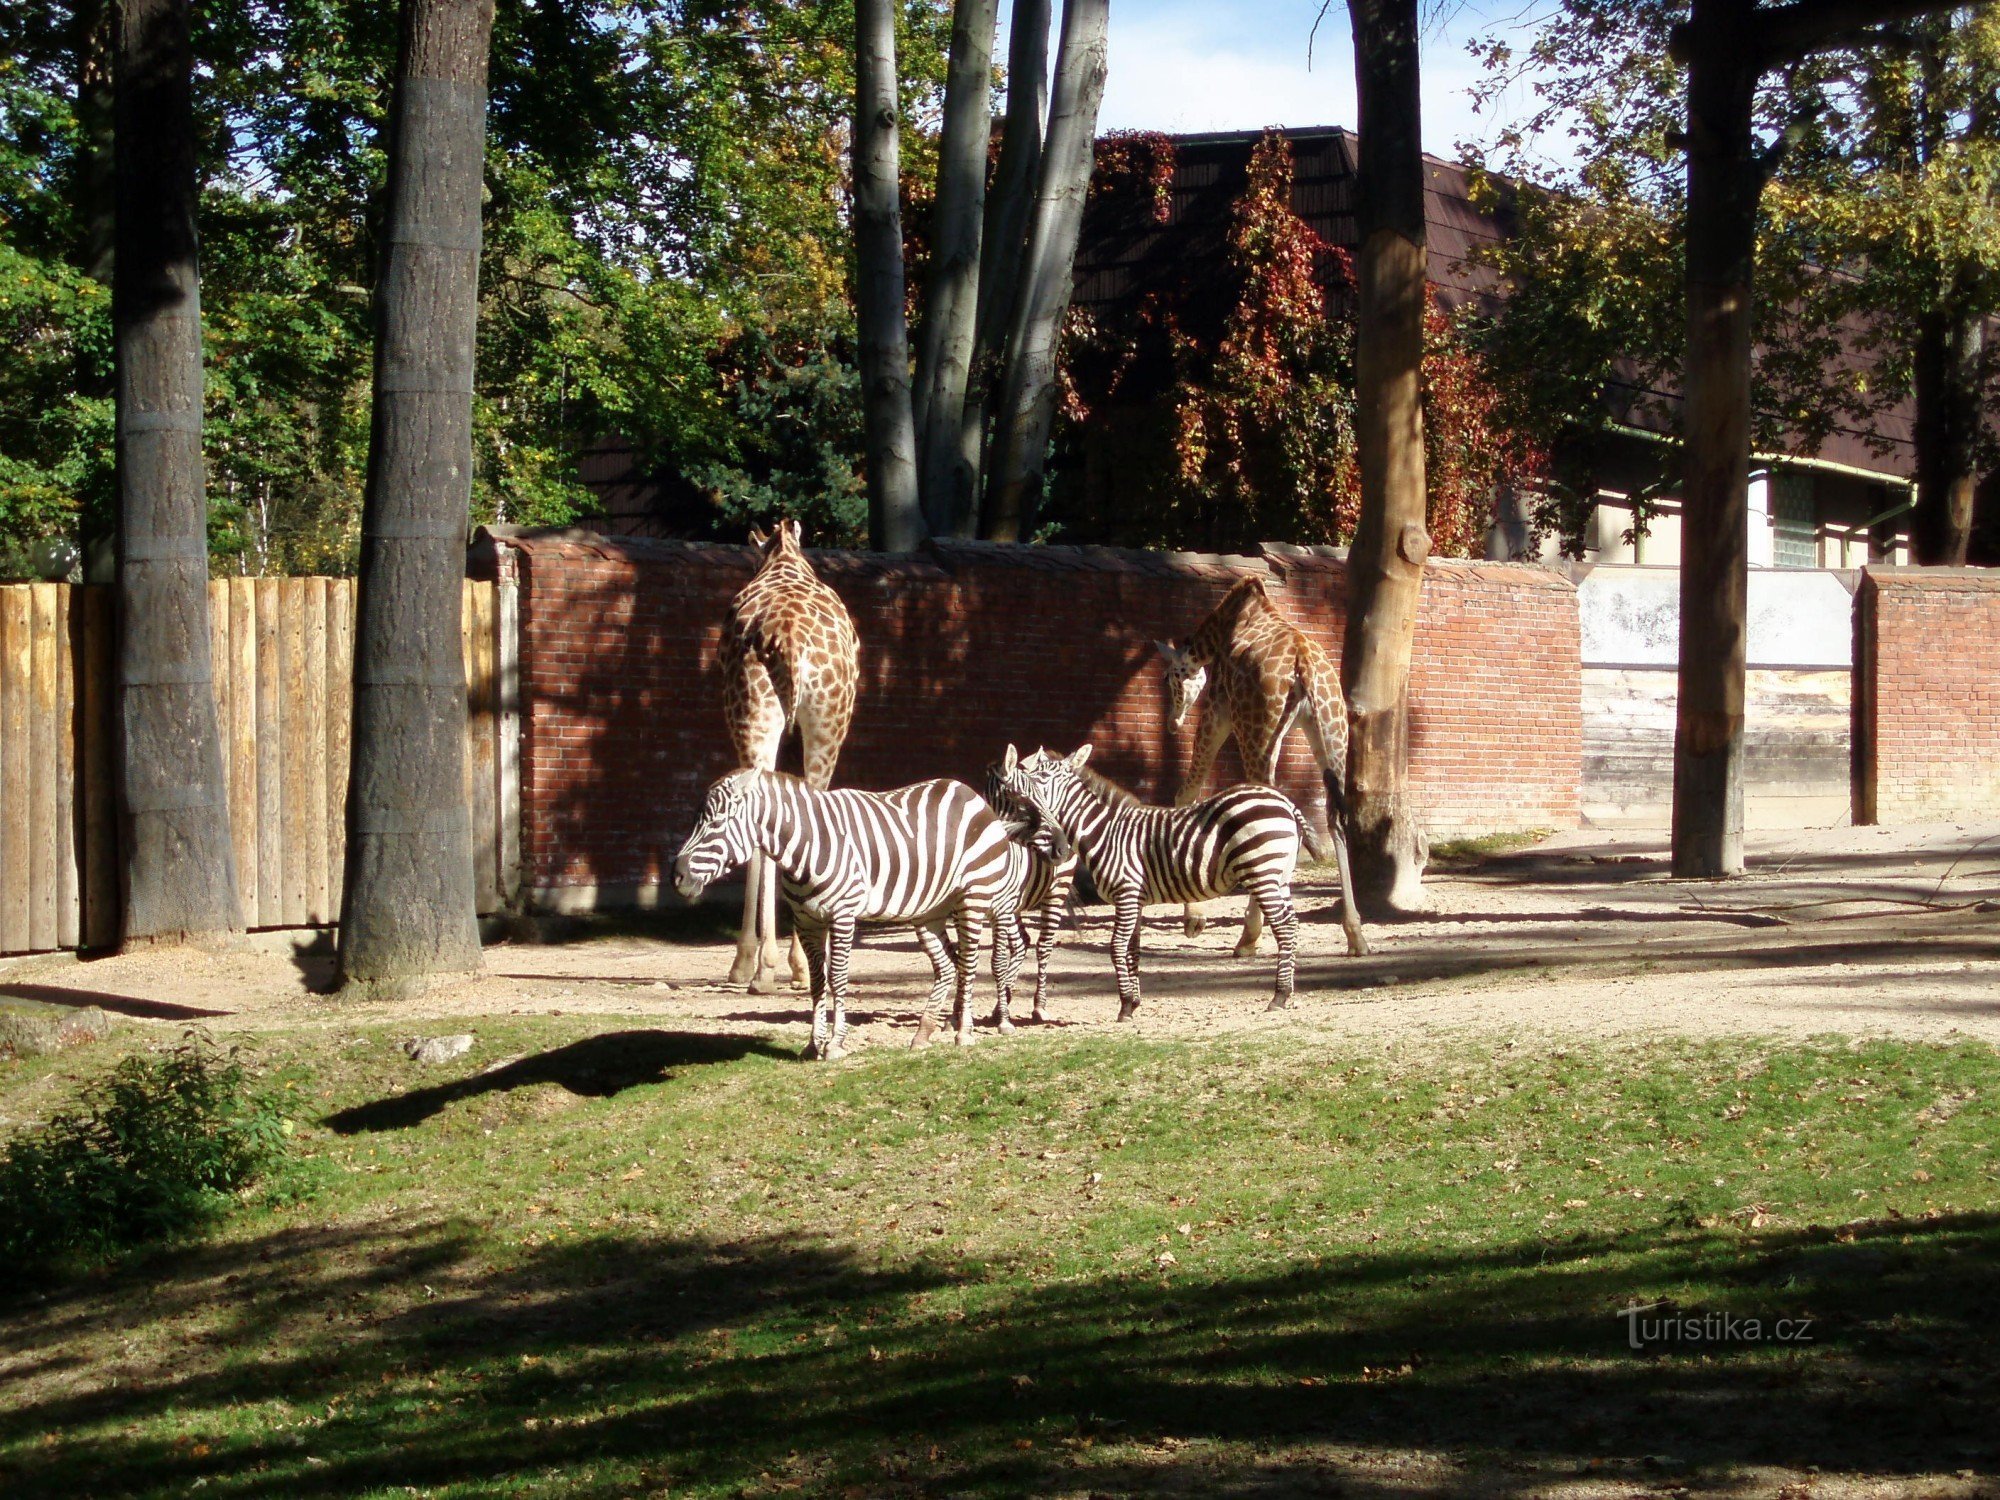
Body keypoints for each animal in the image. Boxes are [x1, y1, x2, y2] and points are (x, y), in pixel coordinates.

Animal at [672, 776, 1016, 1056]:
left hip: (973, 898)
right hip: (929, 912)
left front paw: (835, 1044)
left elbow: (837, 977)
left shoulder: (842, 914)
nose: (677, 875)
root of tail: (969, 792)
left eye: (717, 822)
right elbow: (816, 982)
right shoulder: (806, 922)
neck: (805, 846)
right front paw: (814, 1044)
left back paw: (964, 1033)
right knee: (946, 966)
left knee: (968, 964)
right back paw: (923, 1034)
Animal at [720, 524, 860, 992]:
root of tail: (789, 638)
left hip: (756, 713)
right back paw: (795, 963)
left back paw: (759, 964)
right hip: (825, 722)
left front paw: (751, 961)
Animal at [1008, 748, 1320, 1024]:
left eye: (1042, 777)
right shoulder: (1135, 900)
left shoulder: (1126, 893)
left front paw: (1124, 1006)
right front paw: (1133, 1003)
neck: (1104, 832)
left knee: (1283, 928)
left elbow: (1116, 947)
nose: (1016, 792)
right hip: (1280, 877)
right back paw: (1287, 992)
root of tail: (1285, 802)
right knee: (1292, 925)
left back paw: (1279, 996)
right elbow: (1132, 949)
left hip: (1262, 873)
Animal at [1152, 580, 1368, 956]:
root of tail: (1304, 665)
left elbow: (1187, 791)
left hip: (1258, 730)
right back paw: (1355, 935)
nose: (1171, 724)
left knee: (1265, 810)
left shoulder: (1218, 708)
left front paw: (1194, 919)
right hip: (1333, 731)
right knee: (1336, 817)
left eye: (1168, 678)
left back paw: (1248, 937)